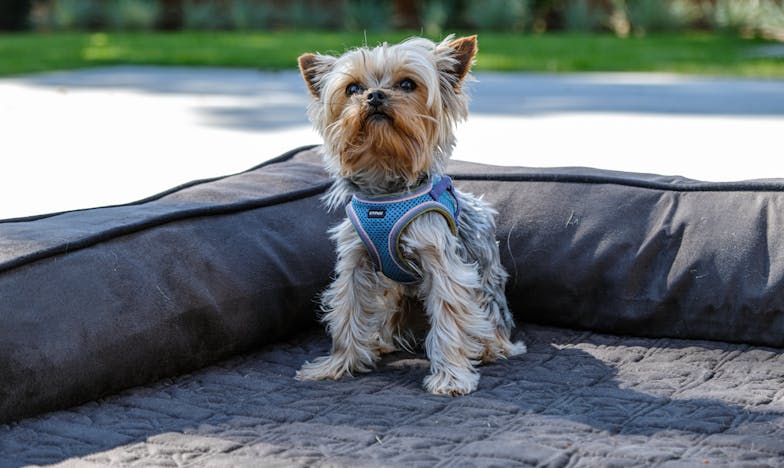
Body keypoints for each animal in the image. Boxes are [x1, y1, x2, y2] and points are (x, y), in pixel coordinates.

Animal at [290, 34, 524, 396]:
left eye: (407, 84)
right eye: (353, 88)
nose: (374, 95)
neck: (386, 192)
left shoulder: (441, 260)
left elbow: (449, 316)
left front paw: (451, 378)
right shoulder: (355, 260)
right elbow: (347, 311)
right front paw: (336, 366)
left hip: (490, 309)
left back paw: (487, 349)